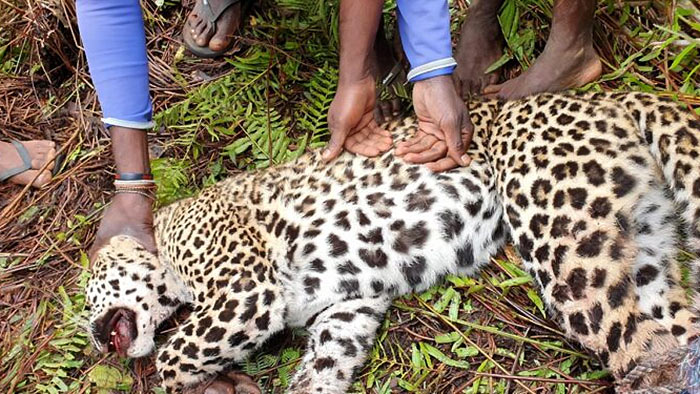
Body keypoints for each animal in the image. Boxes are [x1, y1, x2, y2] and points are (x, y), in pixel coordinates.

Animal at [86, 90, 700, 394]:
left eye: (88, 288)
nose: (92, 335)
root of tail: (601, 95)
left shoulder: (244, 292)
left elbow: (173, 356)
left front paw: (209, 382)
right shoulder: (349, 307)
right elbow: (324, 365)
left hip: (563, 233)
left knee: (639, 343)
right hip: (645, 241)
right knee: (676, 328)